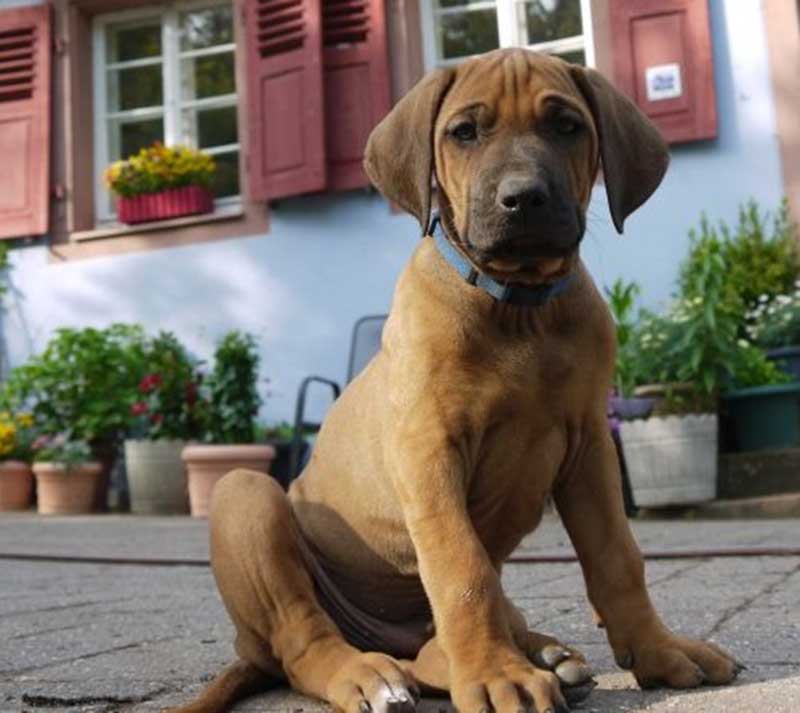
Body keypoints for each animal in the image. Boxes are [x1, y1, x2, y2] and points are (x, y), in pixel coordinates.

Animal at [172, 50, 740, 712]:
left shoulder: (590, 449)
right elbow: (461, 568)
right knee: (305, 641)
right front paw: (496, 676)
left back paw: (540, 654)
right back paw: (369, 675)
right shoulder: (429, 450)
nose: (524, 198)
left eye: (566, 126)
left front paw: (660, 651)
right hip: (246, 496)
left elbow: (617, 557)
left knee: (430, 649)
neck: (520, 306)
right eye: (465, 132)